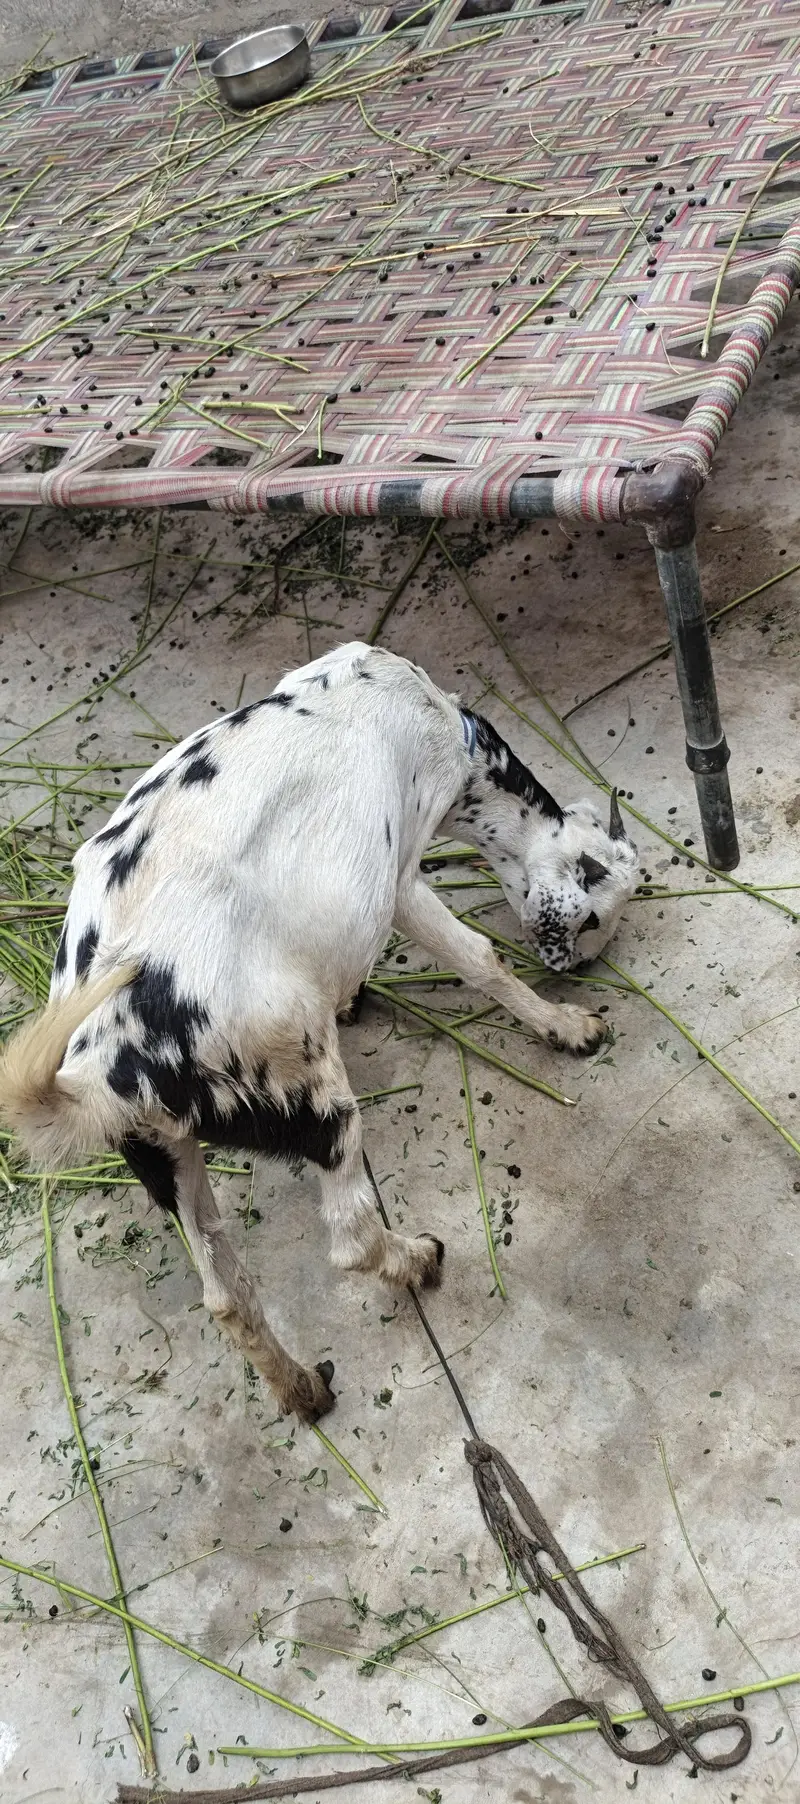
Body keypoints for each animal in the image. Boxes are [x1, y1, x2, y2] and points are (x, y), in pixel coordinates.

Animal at [0, 643, 638, 1421]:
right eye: (598, 913)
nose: (580, 969)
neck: (443, 724)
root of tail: (102, 1070)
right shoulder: (399, 876)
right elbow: (477, 958)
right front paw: (570, 1027)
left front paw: (355, 997)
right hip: (310, 1092)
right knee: (350, 1238)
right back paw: (417, 1260)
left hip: (162, 1151)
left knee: (223, 1290)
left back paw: (303, 1388)